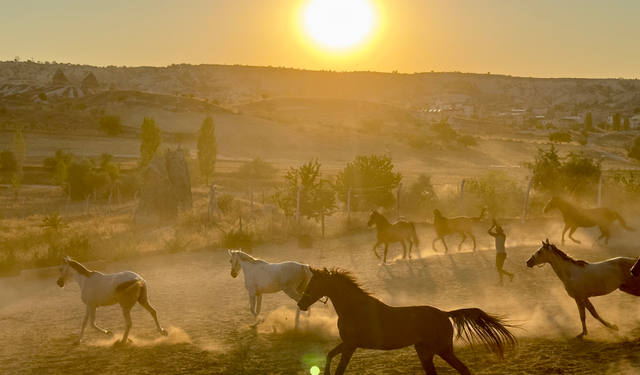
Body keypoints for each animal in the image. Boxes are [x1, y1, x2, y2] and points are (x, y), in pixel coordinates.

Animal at [298, 268, 516, 374]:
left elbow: (338, 367)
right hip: (426, 351)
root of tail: (445, 314)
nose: (301, 304)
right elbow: (329, 356)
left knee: (463, 369)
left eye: (314, 283)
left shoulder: (351, 345)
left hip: (441, 350)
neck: (355, 309)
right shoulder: (348, 344)